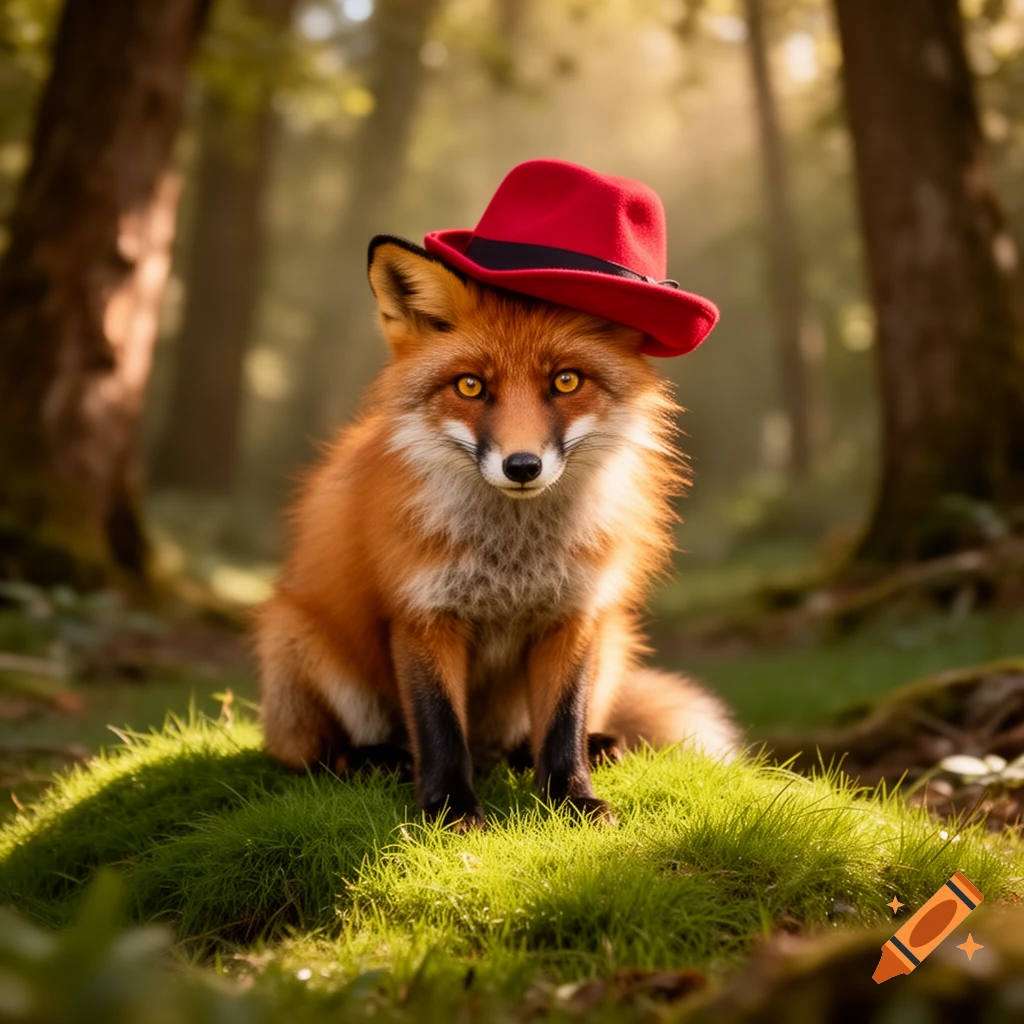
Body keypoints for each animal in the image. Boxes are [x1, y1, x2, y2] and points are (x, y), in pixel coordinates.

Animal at [256, 236, 739, 828]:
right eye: (470, 386)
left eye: (566, 380)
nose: (523, 466)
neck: (513, 561)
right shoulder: (423, 613)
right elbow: (439, 727)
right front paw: (449, 809)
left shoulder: (573, 614)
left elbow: (563, 725)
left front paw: (571, 799)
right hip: (293, 636)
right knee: (315, 755)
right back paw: (375, 759)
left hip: (615, 635)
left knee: (529, 741)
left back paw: (589, 745)